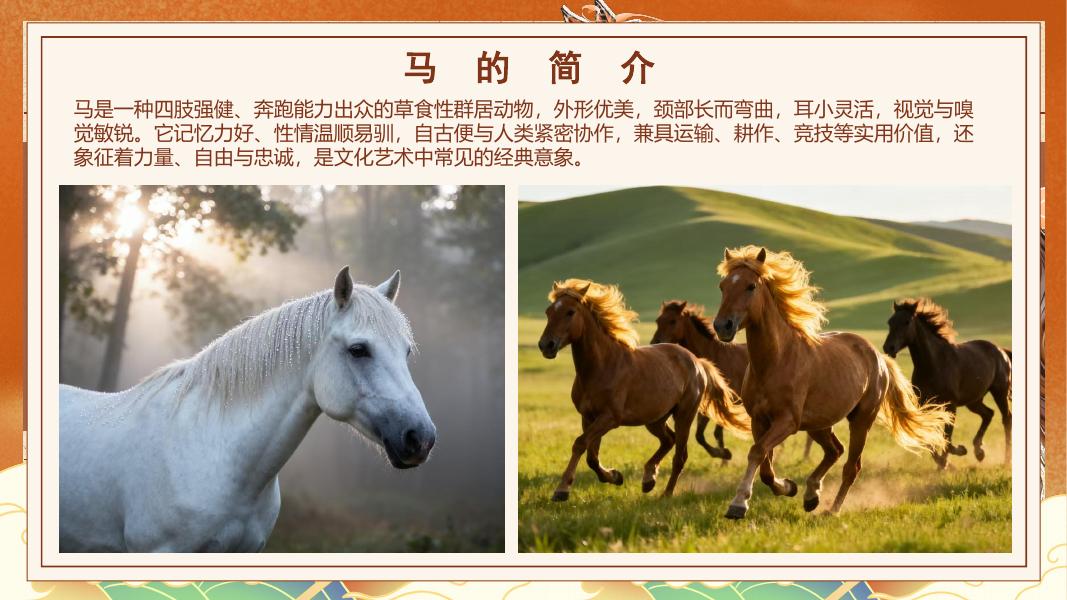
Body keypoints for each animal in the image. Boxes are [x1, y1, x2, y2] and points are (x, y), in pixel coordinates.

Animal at [651, 300, 749, 461]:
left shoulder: (726, 402)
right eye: (658, 321)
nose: (655, 342)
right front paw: (722, 454)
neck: (715, 355)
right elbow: (700, 436)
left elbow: (716, 432)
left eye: (673, 321)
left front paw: (724, 455)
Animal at [712, 246, 953, 519]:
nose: (722, 326)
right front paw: (788, 487)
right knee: (834, 450)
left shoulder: (787, 421)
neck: (777, 360)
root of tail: (878, 357)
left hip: (861, 421)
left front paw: (738, 504)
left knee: (851, 466)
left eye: (751, 286)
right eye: (722, 286)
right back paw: (811, 494)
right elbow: (765, 465)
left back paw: (832, 508)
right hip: (819, 424)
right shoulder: (759, 420)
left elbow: (757, 453)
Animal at [883, 298, 1012, 468]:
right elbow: (929, 437)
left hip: (999, 392)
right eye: (890, 322)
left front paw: (954, 455)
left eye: (906, 321)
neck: (933, 364)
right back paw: (979, 452)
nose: (888, 347)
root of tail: (1001, 350)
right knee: (988, 414)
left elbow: (946, 436)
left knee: (1006, 419)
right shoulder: (926, 406)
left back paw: (1005, 460)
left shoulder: (950, 405)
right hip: (974, 400)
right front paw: (943, 463)